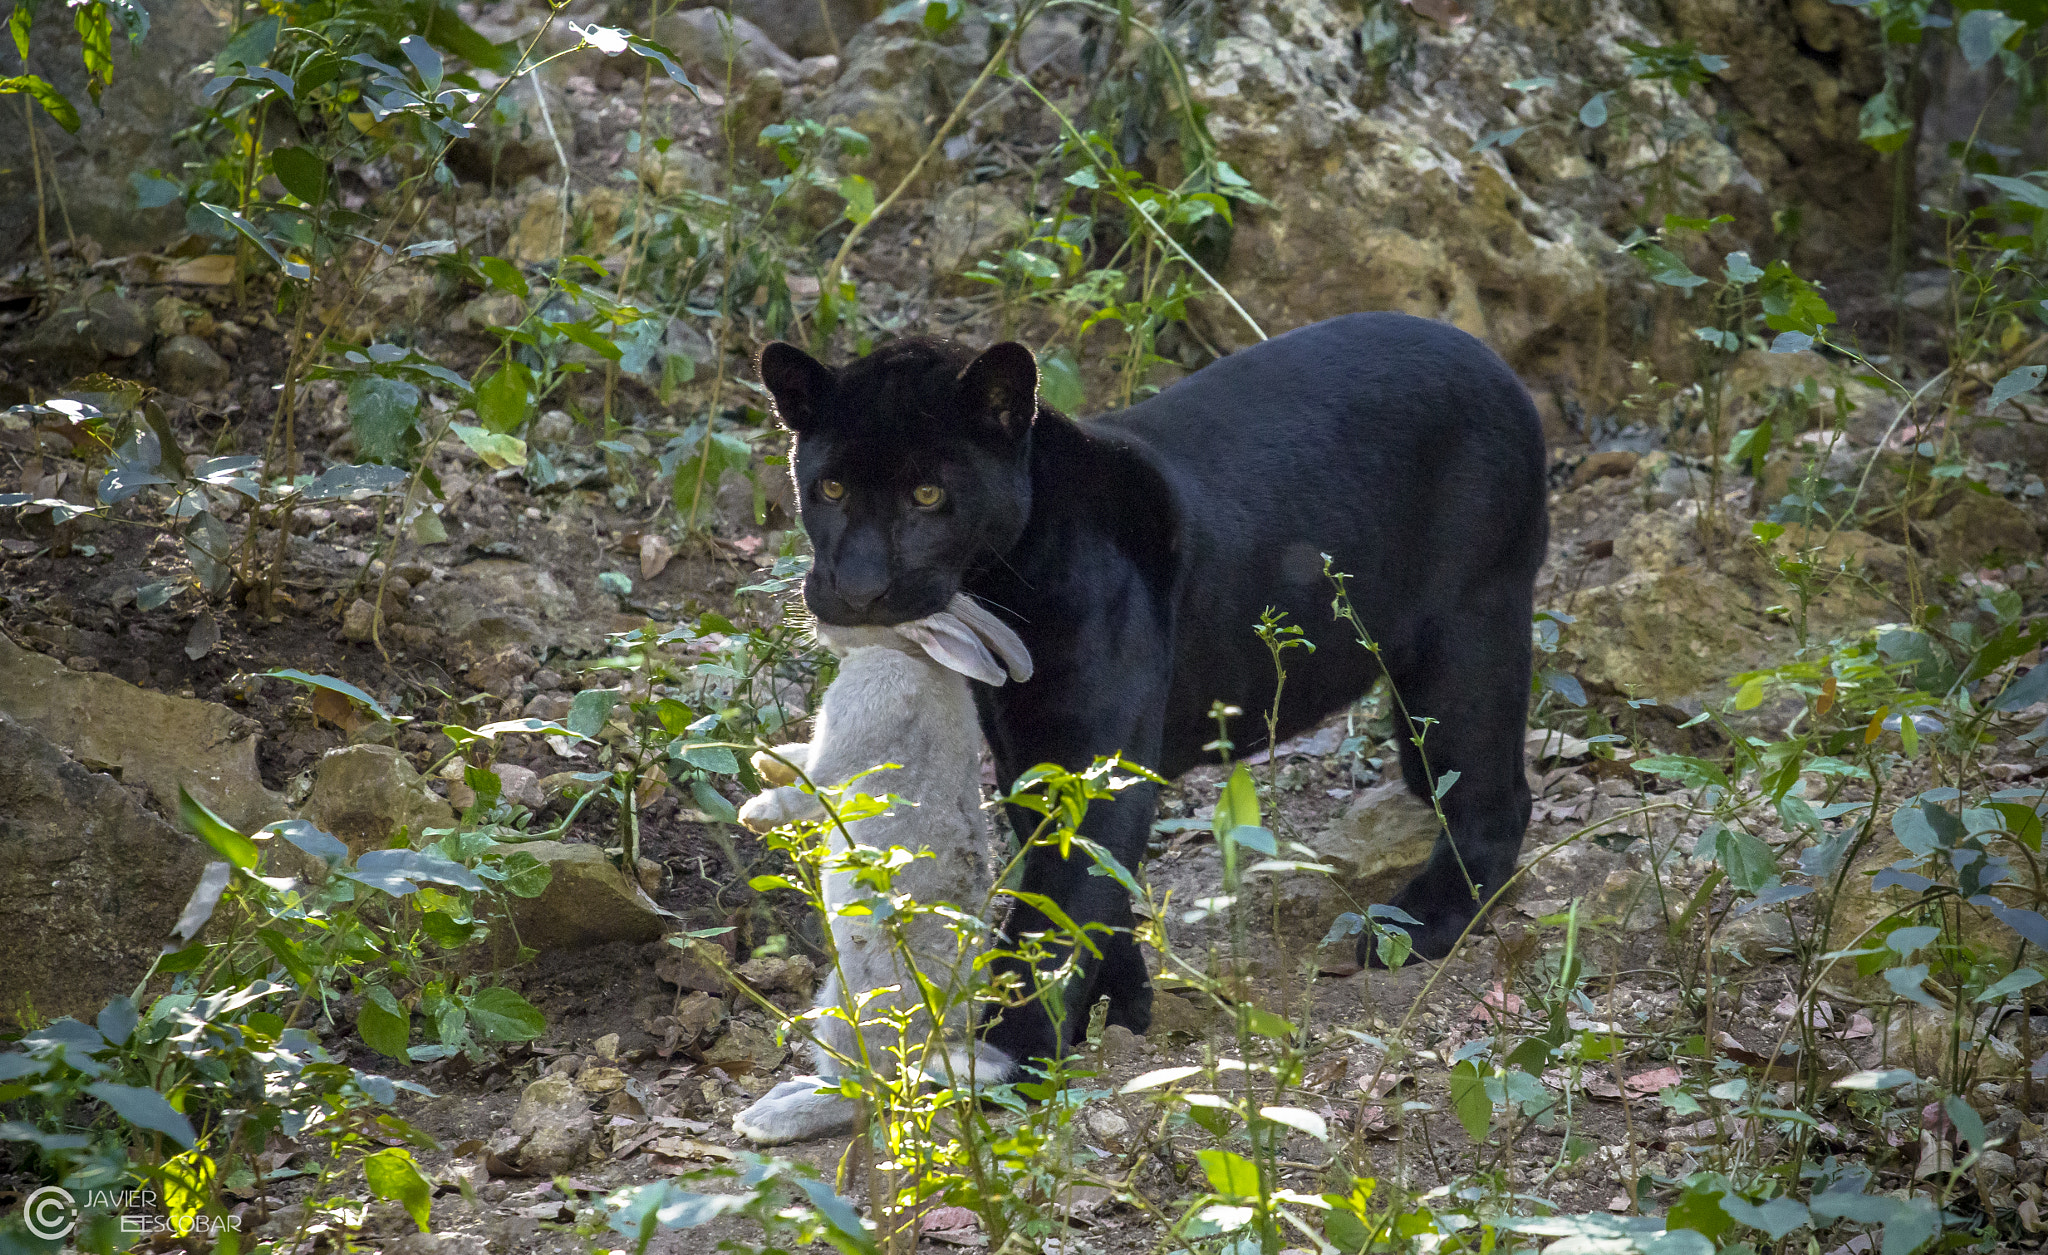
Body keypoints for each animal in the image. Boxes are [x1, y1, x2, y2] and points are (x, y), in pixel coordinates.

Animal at [729, 597, 1032, 1146]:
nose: (813, 619)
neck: (910, 652)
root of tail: (938, 1039)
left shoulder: (861, 725)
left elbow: (812, 785)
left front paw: (756, 812)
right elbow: (799, 760)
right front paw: (768, 759)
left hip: (854, 1001)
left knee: (867, 1093)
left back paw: (767, 1121)